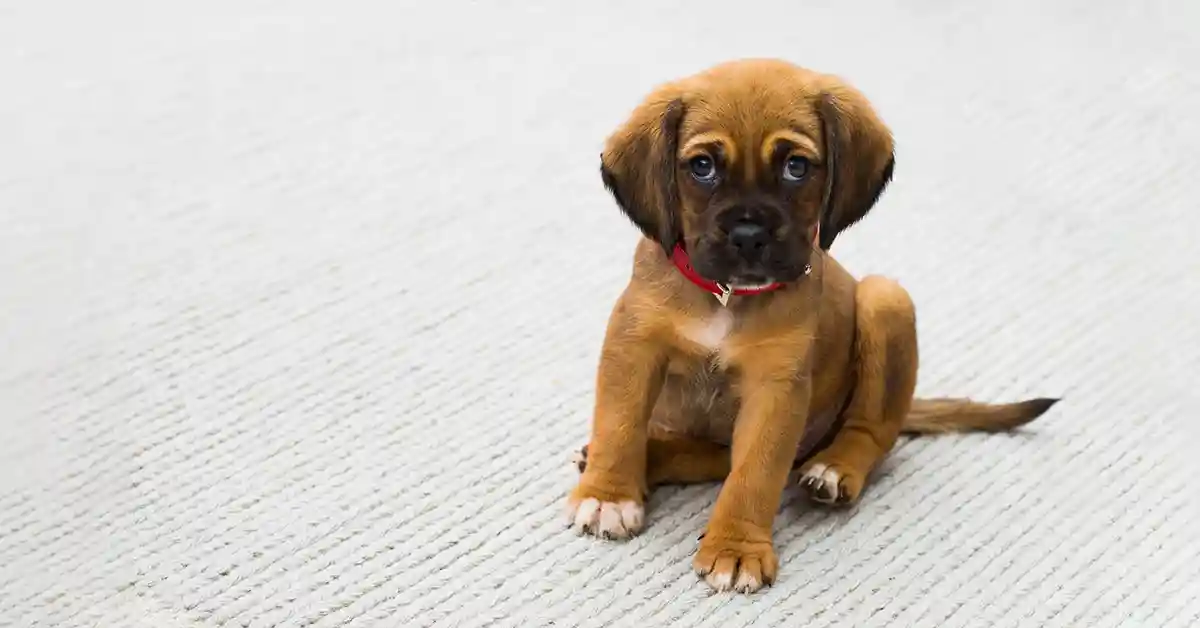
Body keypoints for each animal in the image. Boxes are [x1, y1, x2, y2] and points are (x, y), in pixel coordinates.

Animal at [566, 58, 1056, 595]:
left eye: (796, 167)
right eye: (702, 167)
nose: (748, 235)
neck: (726, 297)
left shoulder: (775, 389)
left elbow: (755, 474)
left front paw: (736, 548)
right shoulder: (633, 348)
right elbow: (620, 424)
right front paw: (609, 494)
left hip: (885, 299)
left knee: (871, 432)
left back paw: (835, 469)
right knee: (705, 455)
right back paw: (643, 458)